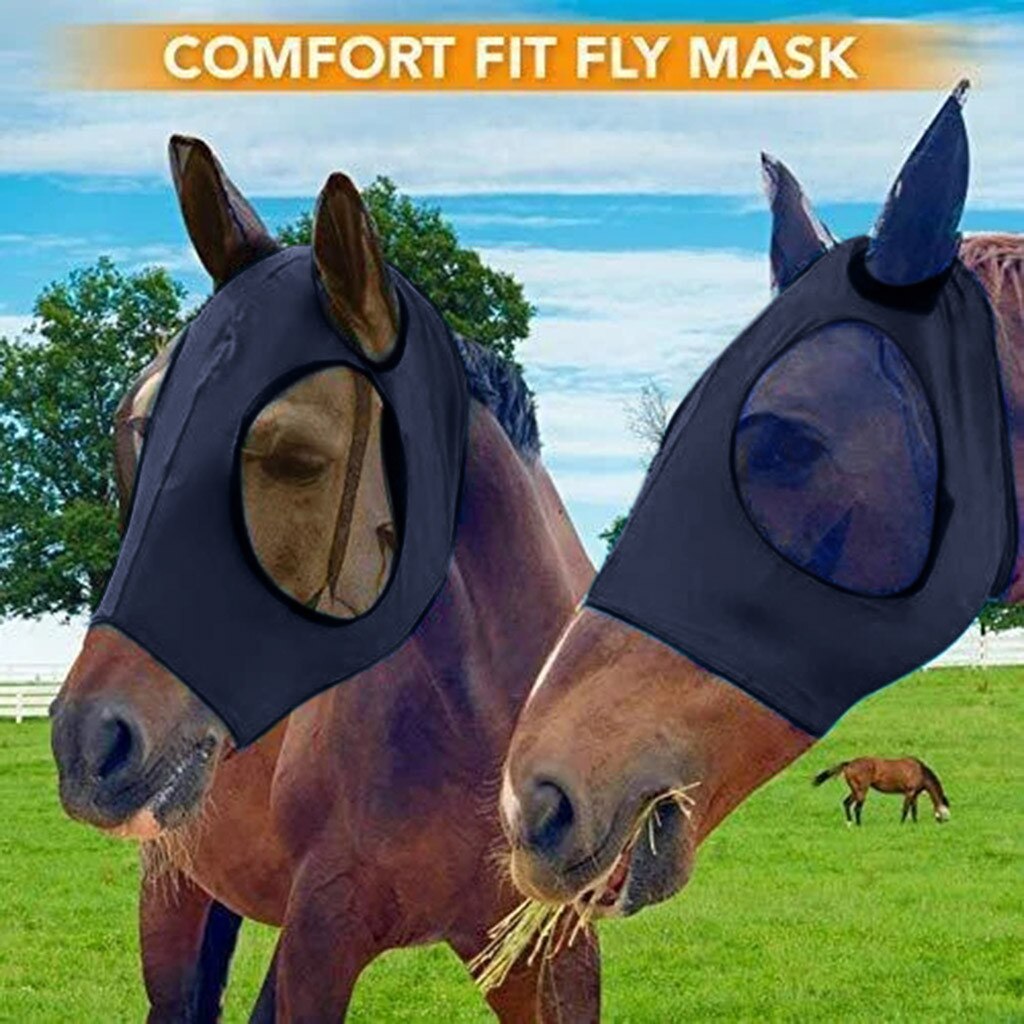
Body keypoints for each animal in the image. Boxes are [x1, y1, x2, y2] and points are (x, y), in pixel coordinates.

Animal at [50, 136, 600, 1022]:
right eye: (133, 436)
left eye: (294, 455)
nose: (87, 738)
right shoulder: (323, 941)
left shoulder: (547, 955)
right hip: (173, 890)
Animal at [812, 757, 951, 826]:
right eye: (946, 810)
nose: (945, 822)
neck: (920, 771)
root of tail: (849, 763)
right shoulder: (909, 792)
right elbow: (906, 809)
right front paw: (901, 824)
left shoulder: (914, 795)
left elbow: (914, 810)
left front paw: (915, 823)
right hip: (862, 790)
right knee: (857, 807)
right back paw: (859, 824)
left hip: (855, 790)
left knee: (846, 803)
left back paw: (849, 823)